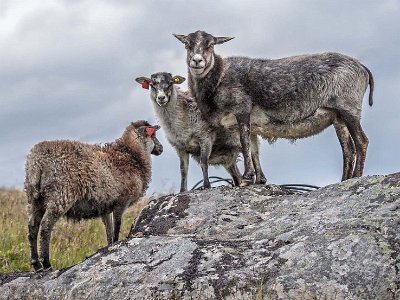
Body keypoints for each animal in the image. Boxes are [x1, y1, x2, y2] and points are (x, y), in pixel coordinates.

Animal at [24, 120, 162, 272]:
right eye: (153, 135)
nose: (161, 148)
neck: (132, 155)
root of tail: (36, 162)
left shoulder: (105, 207)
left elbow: (109, 230)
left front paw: (110, 246)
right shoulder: (121, 201)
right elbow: (117, 225)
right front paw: (116, 243)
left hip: (35, 198)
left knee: (32, 227)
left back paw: (36, 264)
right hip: (60, 195)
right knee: (45, 227)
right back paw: (47, 264)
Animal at [136, 71, 268, 191]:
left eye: (170, 83)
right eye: (152, 84)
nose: (161, 98)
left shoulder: (205, 137)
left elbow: (203, 162)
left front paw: (206, 185)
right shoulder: (180, 147)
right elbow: (183, 170)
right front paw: (182, 190)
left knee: (253, 153)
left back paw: (259, 179)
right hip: (228, 156)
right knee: (237, 173)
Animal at [173, 30, 374, 185]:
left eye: (211, 45)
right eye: (187, 44)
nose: (197, 61)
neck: (219, 77)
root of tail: (363, 68)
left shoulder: (242, 109)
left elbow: (244, 143)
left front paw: (247, 178)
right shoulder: (252, 123)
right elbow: (254, 149)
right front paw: (259, 180)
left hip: (349, 108)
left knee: (361, 141)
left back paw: (356, 177)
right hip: (337, 116)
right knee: (348, 149)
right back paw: (344, 180)